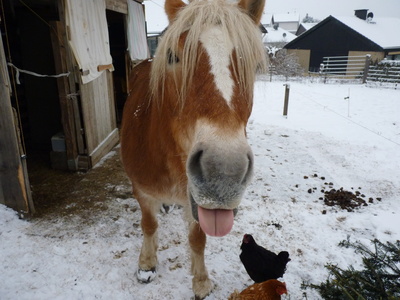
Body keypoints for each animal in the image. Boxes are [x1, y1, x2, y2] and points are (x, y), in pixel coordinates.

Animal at [120, 0, 268, 296]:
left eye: (255, 66)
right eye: (172, 56)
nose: (223, 174)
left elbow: (198, 238)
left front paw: (201, 281)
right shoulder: (142, 190)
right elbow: (149, 225)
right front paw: (146, 265)